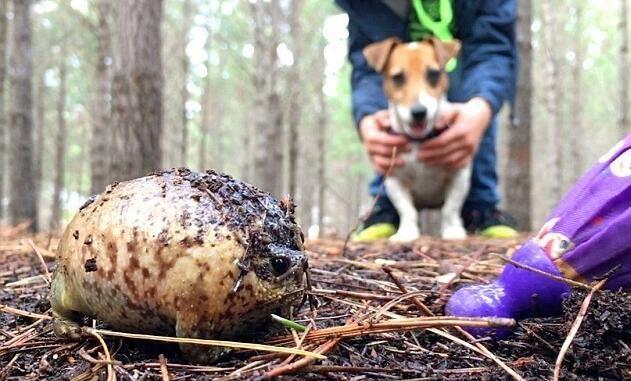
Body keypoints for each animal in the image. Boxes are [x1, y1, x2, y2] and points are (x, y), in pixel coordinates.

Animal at [366, 37, 470, 240]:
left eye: (434, 74)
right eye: (398, 77)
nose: (419, 112)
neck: (418, 141)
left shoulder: (459, 174)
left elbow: (451, 208)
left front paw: (453, 230)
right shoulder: (394, 179)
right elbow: (407, 210)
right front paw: (406, 232)